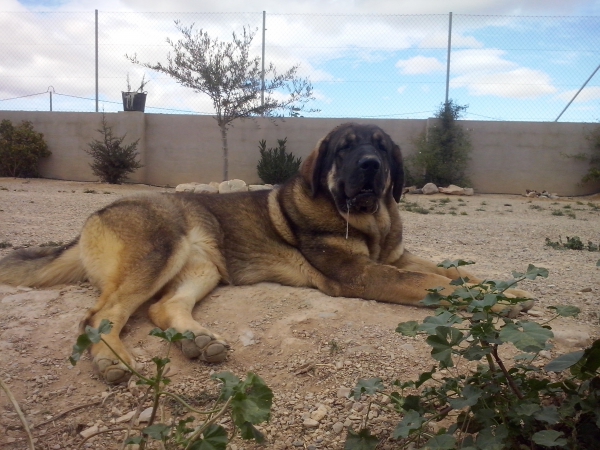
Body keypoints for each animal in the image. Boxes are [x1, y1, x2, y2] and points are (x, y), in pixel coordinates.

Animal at [0, 122, 532, 384]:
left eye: (382, 148)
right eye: (345, 148)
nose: (371, 165)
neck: (370, 222)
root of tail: (96, 215)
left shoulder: (394, 259)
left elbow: (450, 271)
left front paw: (500, 291)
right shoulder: (365, 274)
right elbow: (432, 282)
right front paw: (496, 302)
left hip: (204, 268)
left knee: (162, 307)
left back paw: (199, 341)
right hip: (159, 250)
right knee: (100, 315)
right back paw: (112, 361)